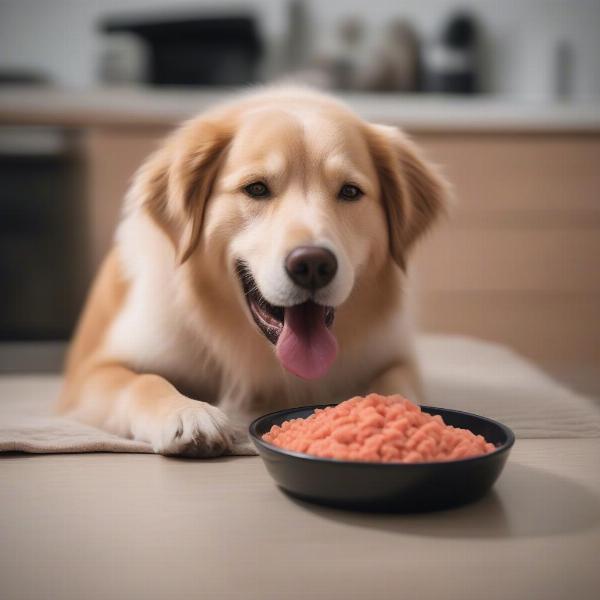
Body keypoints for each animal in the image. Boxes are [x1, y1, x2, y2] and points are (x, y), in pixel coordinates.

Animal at [58, 86, 448, 458]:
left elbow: (398, 387)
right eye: (257, 188)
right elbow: (144, 382)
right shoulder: (91, 373)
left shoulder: (393, 357)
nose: (313, 266)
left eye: (350, 191)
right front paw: (188, 413)